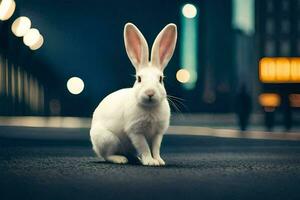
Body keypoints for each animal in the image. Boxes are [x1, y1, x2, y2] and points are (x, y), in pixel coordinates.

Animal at [90, 22, 177, 166]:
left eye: (160, 79)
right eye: (139, 79)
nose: (150, 93)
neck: (149, 108)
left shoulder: (158, 134)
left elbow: (156, 148)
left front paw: (159, 161)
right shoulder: (136, 132)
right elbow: (145, 147)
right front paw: (150, 162)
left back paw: (136, 159)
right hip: (108, 139)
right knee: (107, 155)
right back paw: (120, 159)